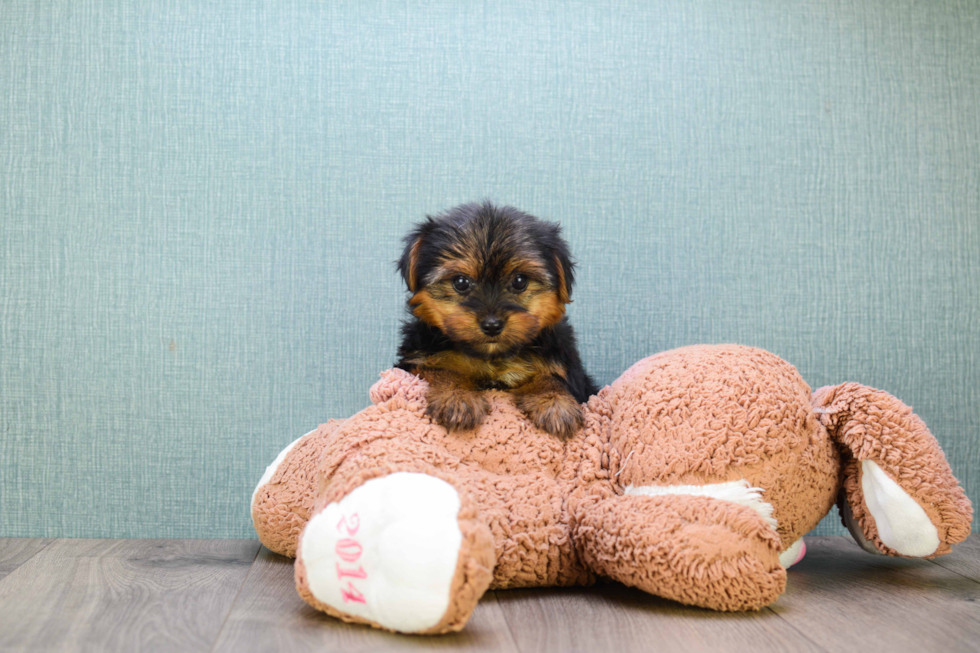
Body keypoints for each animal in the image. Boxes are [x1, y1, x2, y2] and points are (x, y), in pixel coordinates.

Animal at [392, 201, 596, 438]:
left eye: (520, 281)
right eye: (461, 282)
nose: (491, 325)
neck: (491, 358)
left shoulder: (569, 370)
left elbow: (551, 377)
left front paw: (554, 402)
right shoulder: (415, 363)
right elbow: (440, 371)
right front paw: (457, 397)